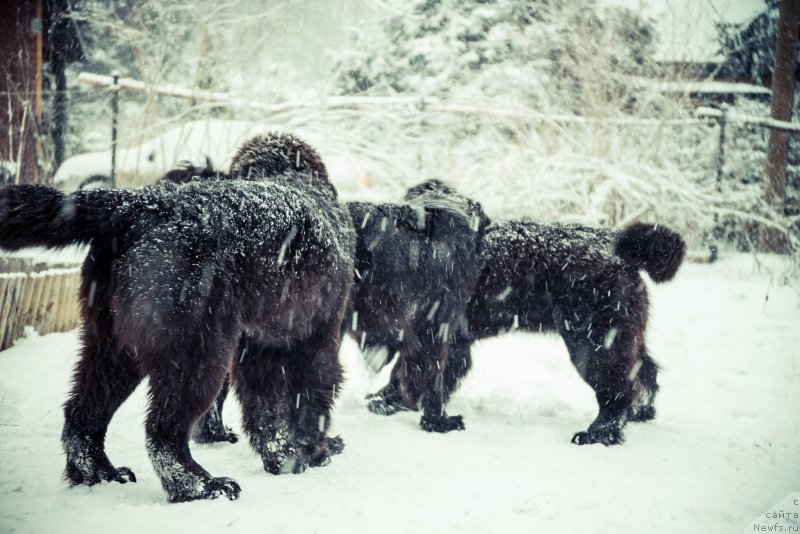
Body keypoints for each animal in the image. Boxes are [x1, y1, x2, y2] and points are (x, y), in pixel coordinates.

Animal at [370, 219, 688, 448]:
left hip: (594, 344)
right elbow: (421, 376)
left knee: (618, 390)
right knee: (645, 373)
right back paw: (639, 413)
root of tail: (617, 247)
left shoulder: (433, 335)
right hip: (621, 336)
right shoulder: (451, 342)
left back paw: (598, 434)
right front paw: (389, 401)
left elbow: (418, 377)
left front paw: (422, 416)